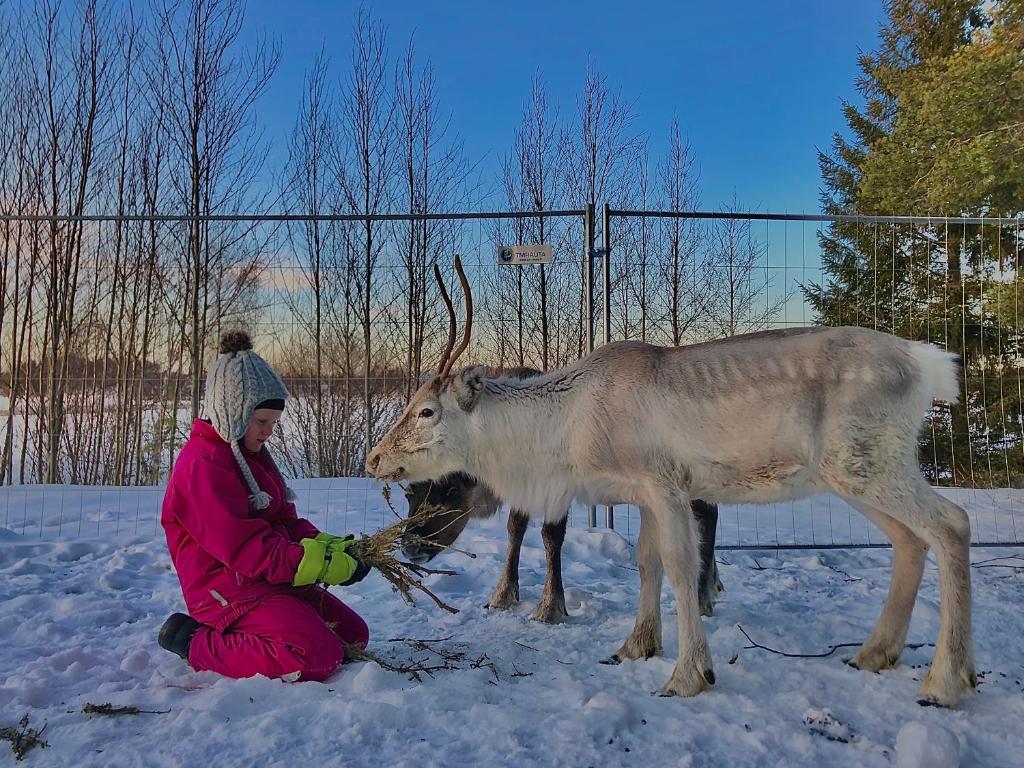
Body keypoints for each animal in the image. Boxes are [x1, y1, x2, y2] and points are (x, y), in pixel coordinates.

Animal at [367, 255, 975, 708]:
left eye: (425, 411)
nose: (373, 458)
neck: (565, 434)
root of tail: (929, 364)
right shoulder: (640, 495)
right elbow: (646, 563)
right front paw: (635, 646)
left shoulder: (666, 483)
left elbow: (682, 570)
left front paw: (688, 675)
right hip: (858, 472)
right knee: (909, 541)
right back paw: (875, 653)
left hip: (869, 464)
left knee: (951, 523)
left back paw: (946, 681)